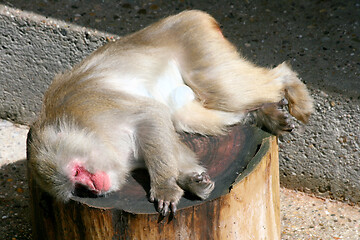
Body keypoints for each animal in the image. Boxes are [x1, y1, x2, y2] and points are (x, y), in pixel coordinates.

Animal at [26, 9, 312, 216]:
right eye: (77, 187)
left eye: (76, 172)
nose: (94, 188)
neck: (87, 130)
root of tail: (192, 15)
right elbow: (165, 137)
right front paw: (191, 180)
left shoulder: (99, 111)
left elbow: (151, 115)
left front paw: (164, 187)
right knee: (185, 114)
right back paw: (263, 113)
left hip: (198, 43)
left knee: (221, 90)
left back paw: (291, 86)